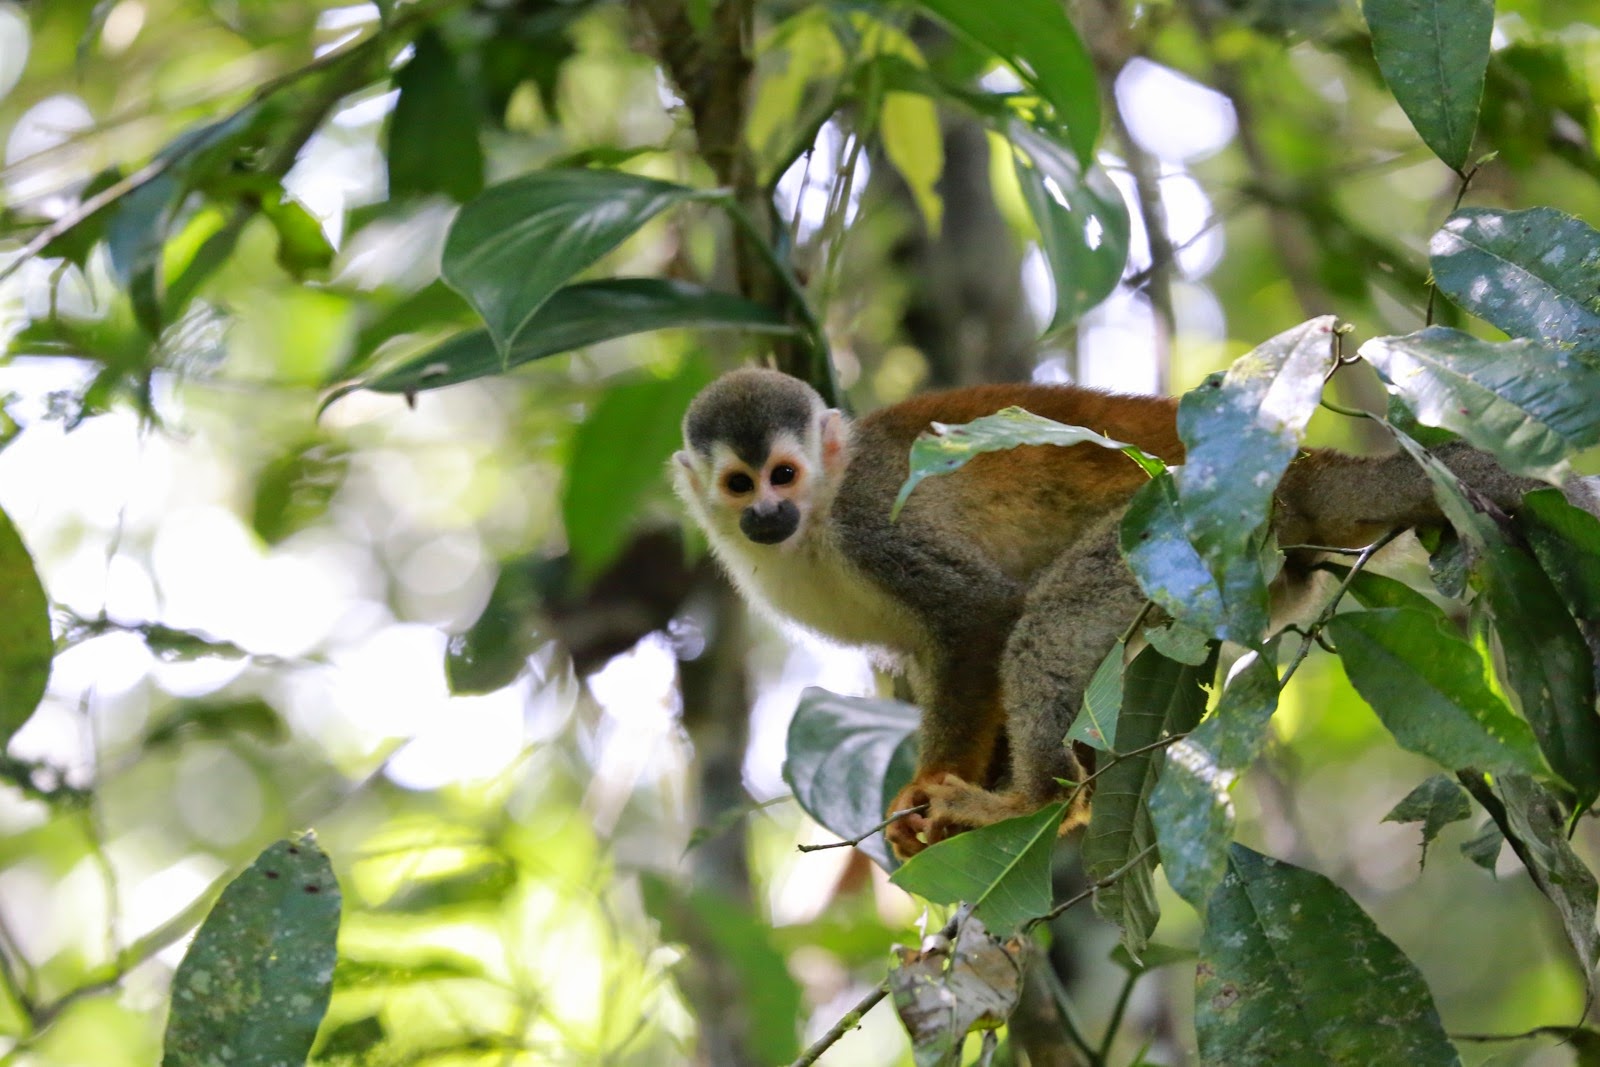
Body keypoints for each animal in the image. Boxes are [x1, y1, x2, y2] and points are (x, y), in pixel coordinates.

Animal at [671, 367, 1565, 859]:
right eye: (740, 485)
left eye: (785, 474)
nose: (766, 516)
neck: (815, 525)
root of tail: (1297, 468)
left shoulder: (869, 520)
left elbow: (980, 618)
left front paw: (933, 784)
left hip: (1179, 526)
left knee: (1048, 619)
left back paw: (1038, 799)